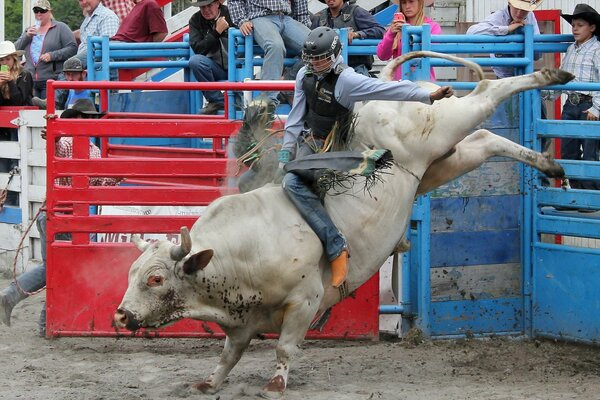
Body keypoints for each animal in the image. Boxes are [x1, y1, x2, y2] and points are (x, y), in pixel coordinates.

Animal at [115, 52, 576, 396]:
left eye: (156, 279)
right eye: (132, 273)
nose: (120, 315)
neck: (241, 250)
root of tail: (378, 94)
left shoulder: (304, 301)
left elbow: (285, 347)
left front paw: (276, 382)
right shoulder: (241, 322)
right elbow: (229, 355)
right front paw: (210, 382)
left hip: (438, 127)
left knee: (486, 94)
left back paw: (552, 75)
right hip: (436, 163)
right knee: (484, 139)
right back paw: (549, 164)